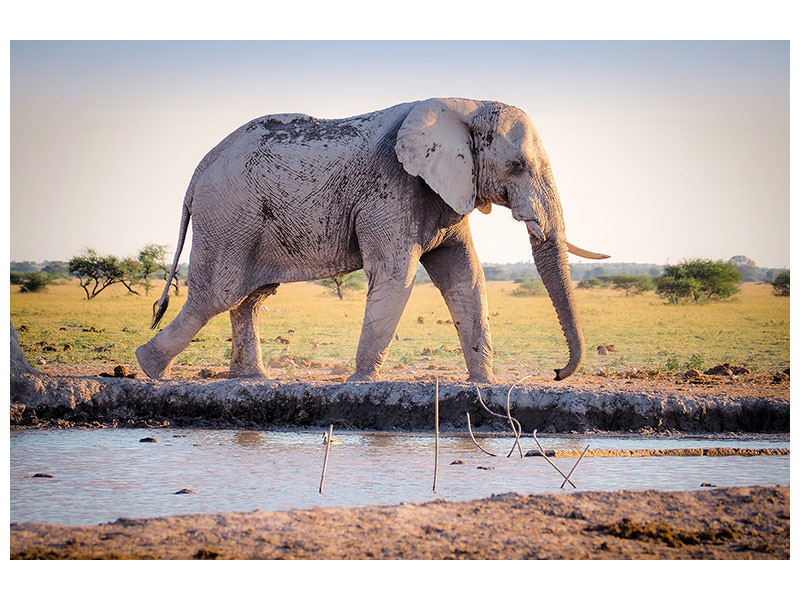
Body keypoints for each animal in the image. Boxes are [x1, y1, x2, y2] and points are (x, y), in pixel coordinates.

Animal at [136, 97, 608, 383]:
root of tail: (200, 168)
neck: (465, 104)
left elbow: (466, 277)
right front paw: (360, 382)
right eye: (516, 165)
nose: (556, 374)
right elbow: (396, 276)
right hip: (229, 215)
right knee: (216, 295)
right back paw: (150, 368)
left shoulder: (443, 191)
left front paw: (483, 384)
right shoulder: (393, 187)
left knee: (248, 297)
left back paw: (252, 380)